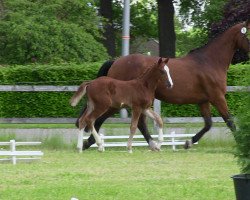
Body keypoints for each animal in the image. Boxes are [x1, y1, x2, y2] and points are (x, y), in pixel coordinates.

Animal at [78, 20, 250, 152]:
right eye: (248, 34)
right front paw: (241, 144)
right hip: (116, 102)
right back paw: (93, 143)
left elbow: (208, 124)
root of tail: (116, 61)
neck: (209, 62)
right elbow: (229, 121)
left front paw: (188, 143)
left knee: (133, 122)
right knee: (102, 119)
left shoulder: (204, 101)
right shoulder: (217, 97)